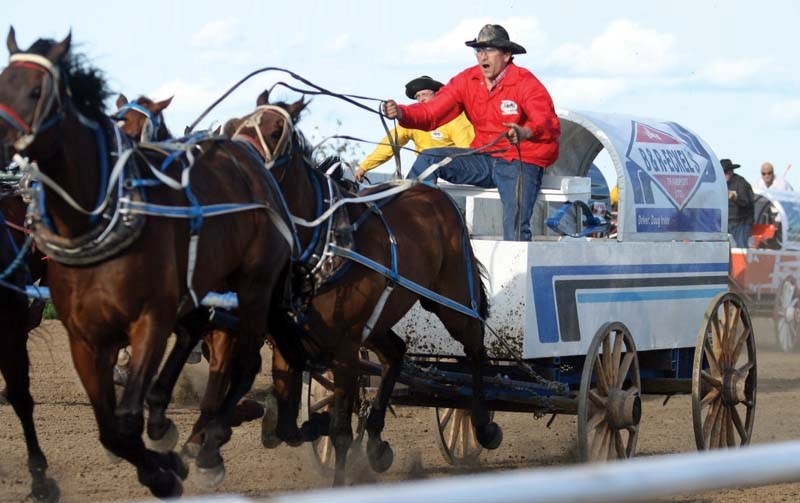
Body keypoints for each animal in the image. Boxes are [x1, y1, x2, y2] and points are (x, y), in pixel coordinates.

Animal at [0, 29, 294, 498]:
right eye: (118, 120)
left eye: (35, 92)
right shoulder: (85, 336)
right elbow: (110, 424)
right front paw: (158, 453)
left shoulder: (153, 318)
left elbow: (132, 412)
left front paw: (171, 459)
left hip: (254, 287)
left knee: (244, 363)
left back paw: (210, 441)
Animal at [225, 92, 500, 486]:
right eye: (234, 126)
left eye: (277, 131)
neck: (320, 246)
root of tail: (437, 197)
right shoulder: (289, 343)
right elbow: (283, 429)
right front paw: (306, 422)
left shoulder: (344, 349)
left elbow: (339, 430)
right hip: (377, 323)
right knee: (395, 353)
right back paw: (376, 441)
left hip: (451, 301)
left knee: (476, 349)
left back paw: (481, 426)